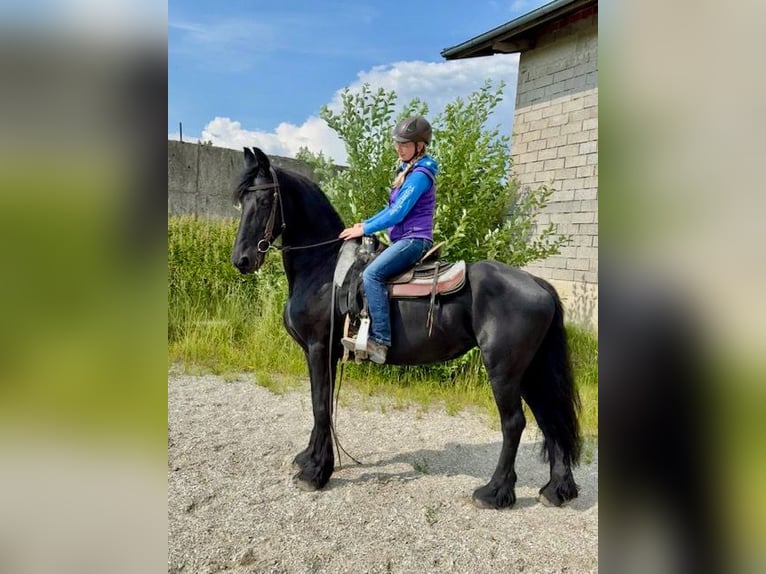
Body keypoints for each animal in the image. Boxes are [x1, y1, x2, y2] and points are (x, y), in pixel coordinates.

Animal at [231, 147, 582, 509]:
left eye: (265, 200)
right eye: (242, 200)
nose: (241, 260)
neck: (324, 270)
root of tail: (538, 283)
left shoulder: (318, 349)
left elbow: (320, 405)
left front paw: (315, 473)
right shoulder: (322, 354)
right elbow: (322, 404)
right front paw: (309, 459)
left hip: (504, 369)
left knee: (514, 423)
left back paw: (494, 492)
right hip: (532, 369)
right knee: (550, 419)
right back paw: (557, 489)